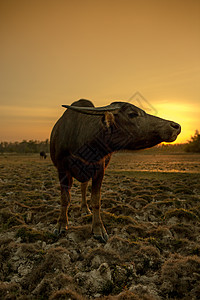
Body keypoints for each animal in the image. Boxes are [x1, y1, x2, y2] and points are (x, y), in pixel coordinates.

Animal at [50, 98, 181, 241]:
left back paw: (84, 209)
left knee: (83, 187)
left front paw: (98, 229)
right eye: (132, 114)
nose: (176, 126)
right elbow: (65, 198)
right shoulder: (62, 169)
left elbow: (96, 200)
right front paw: (61, 224)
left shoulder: (99, 170)